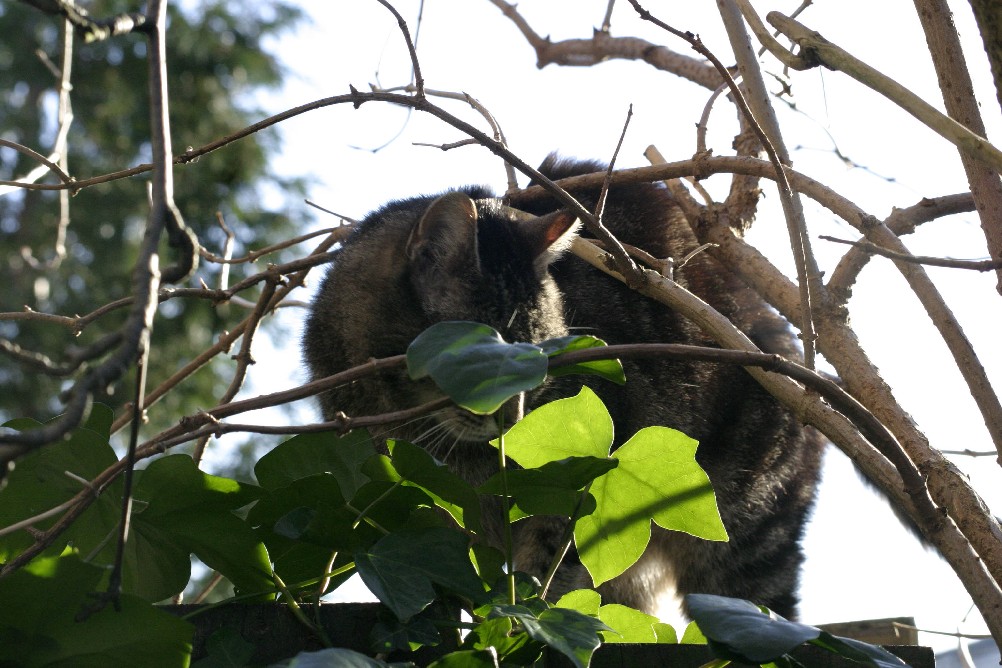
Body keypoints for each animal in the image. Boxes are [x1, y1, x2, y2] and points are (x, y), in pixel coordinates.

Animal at [302, 157, 821, 620]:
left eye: (540, 363)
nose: (512, 417)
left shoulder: (573, 487)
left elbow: (552, 567)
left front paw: (529, 617)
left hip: (747, 525)